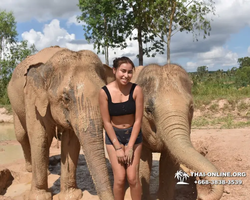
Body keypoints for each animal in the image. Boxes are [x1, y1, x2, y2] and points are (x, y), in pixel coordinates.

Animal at [6, 46, 114, 200]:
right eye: (66, 98)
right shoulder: (33, 98)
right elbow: (40, 137)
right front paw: (39, 197)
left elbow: (71, 141)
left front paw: (71, 196)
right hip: (14, 103)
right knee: (22, 136)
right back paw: (31, 169)